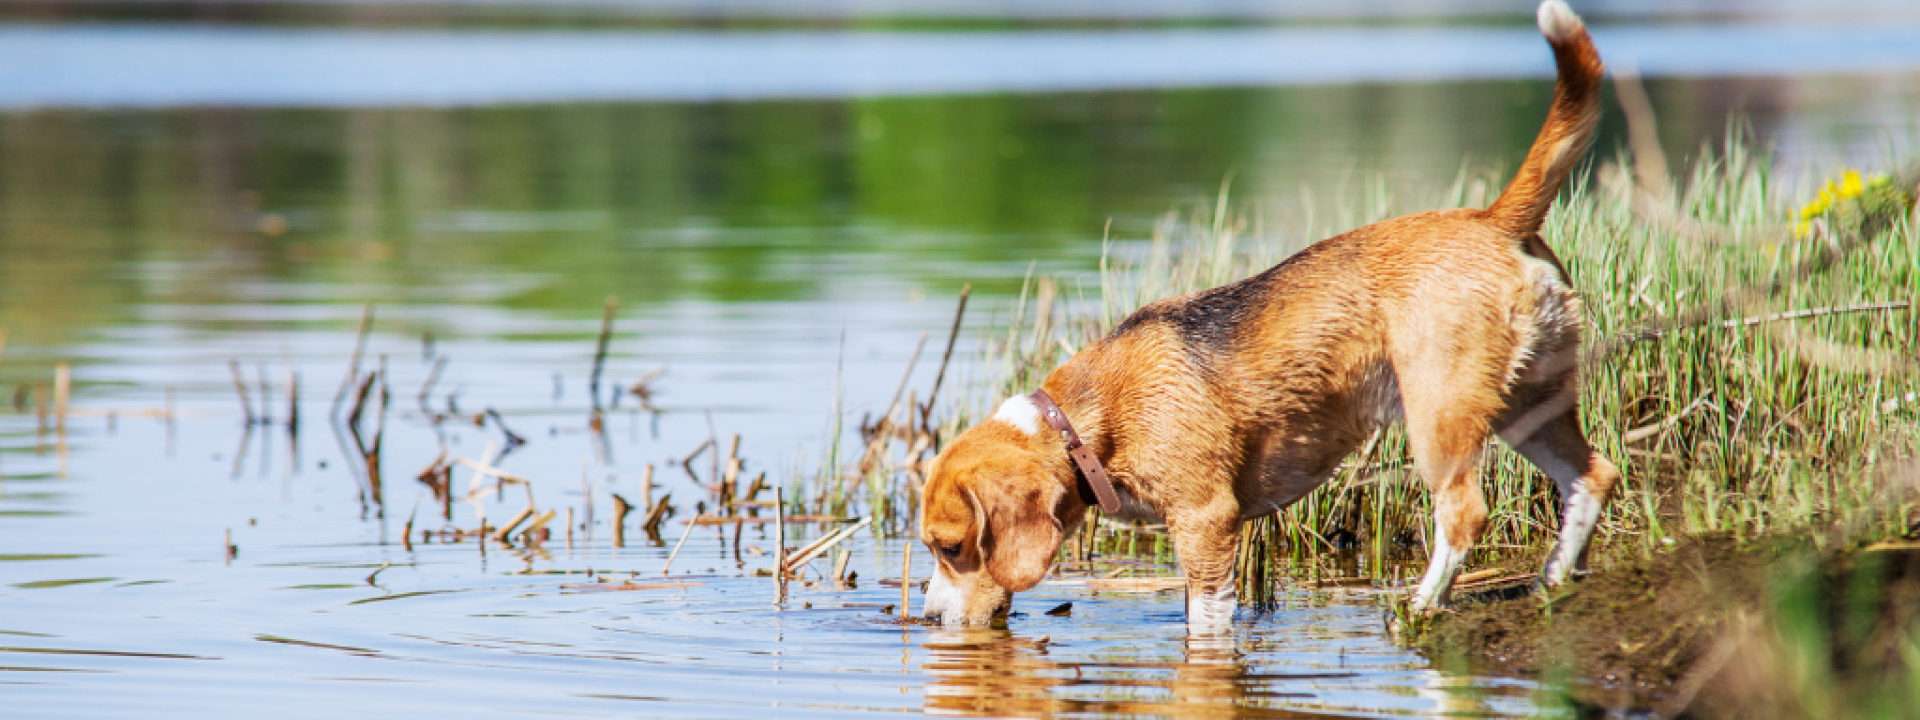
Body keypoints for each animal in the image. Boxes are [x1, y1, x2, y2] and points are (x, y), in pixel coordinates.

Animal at [921, 0, 1612, 637]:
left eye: (952, 547)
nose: (927, 619)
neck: (1083, 430)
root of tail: (1493, 220)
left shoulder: (1206, 521)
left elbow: (1206, 620)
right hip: (1530, 403)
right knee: (1592, 476)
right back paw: (1554, 580)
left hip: (1441, 416)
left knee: (1465, 515)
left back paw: (1418, 608)